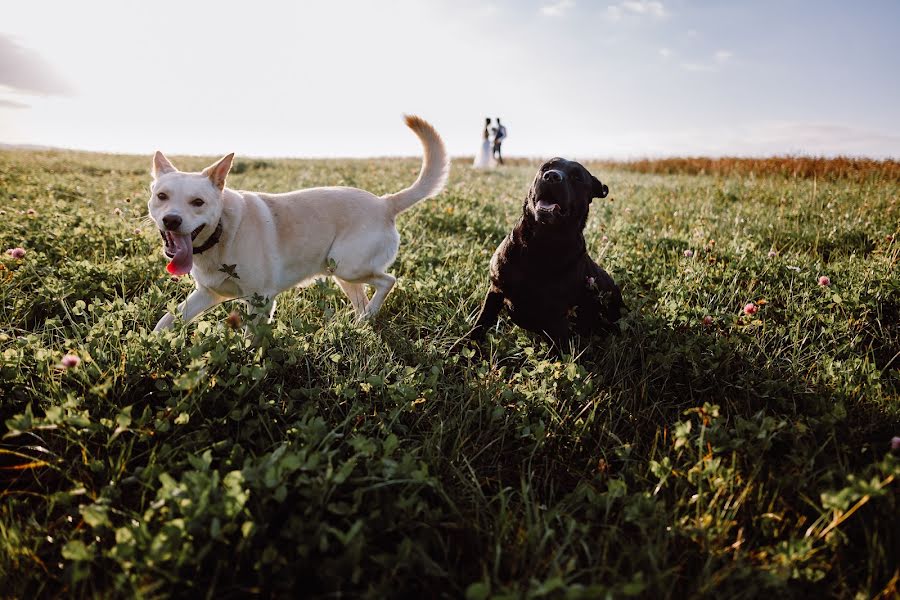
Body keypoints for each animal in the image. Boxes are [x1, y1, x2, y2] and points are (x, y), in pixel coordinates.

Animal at [147, 116, 450, 332]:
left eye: (198, 202)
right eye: (162, 196)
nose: (171, 220)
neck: (221, 232)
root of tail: (385, 202)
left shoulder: (260, 299)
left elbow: (250, 338)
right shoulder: (207, 294)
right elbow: (166, 321)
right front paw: (154, 344)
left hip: (348, 266)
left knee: (388, 281)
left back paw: (369, 316)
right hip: (342, 273)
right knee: (363, 301)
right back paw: (360, 325)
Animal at [468, 157, 624, 352]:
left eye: (577, 177)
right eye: (546, 167)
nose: (551, 176)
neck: (541, 243)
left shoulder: (556, 319)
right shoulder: (496, 291)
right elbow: (479, 325)